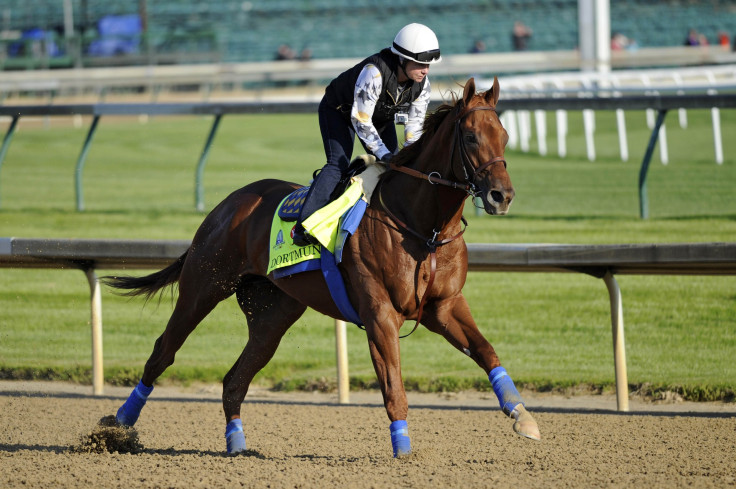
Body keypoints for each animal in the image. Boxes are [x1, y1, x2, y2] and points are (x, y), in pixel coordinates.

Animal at [105, 77, 540, 458]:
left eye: (504, 135)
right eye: (471, 137)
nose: (502, 196)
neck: (422, 227)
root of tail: (228, 205)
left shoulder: (444, 305)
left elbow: (487, 352)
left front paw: (523, 416)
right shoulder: (380, 313)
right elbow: (393, 388)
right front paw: (403, 451)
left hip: (272, 315)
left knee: (234, 380)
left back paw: (236, 445)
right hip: (204, 285)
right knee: (163, 353)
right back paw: (119, 425)